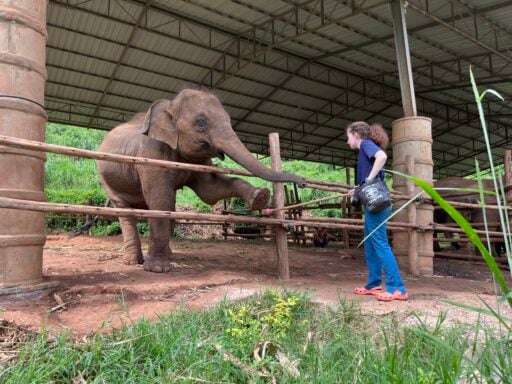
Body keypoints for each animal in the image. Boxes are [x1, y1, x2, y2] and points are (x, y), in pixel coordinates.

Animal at [96, 88, 306, 272]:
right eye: (201, 122)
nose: (302, 182)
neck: (170, 106)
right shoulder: (151, 155)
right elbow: (160, 200)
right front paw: (157, 269)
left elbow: (210, 191)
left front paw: (260, 196)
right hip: (106, 178)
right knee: (126, 212)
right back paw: (133, 262)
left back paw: (167, 255)